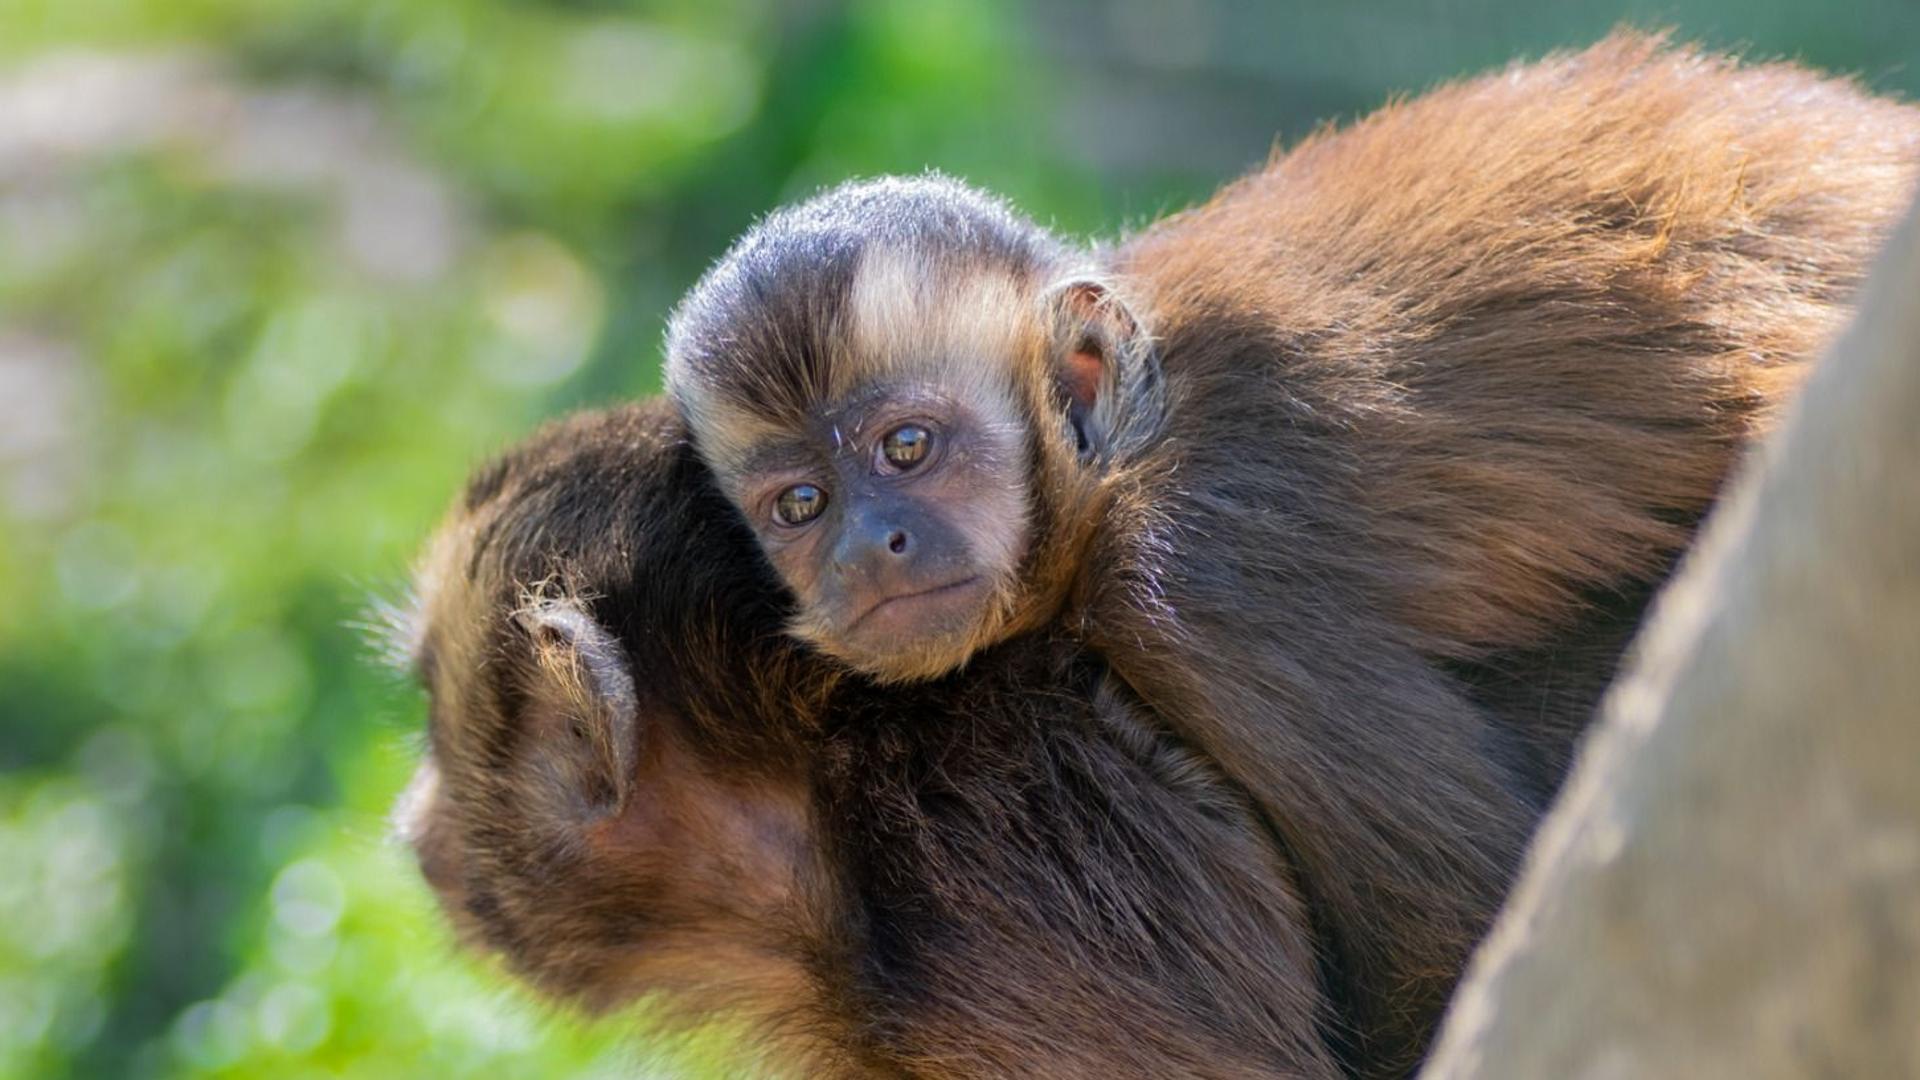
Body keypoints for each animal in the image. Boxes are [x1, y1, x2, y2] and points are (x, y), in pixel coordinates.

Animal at [664, 33, 1920, 1068]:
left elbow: (1469, 917)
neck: (1123, 451)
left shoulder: (1199, 579)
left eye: (909, 447)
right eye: (801, 504)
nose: (869, 548)